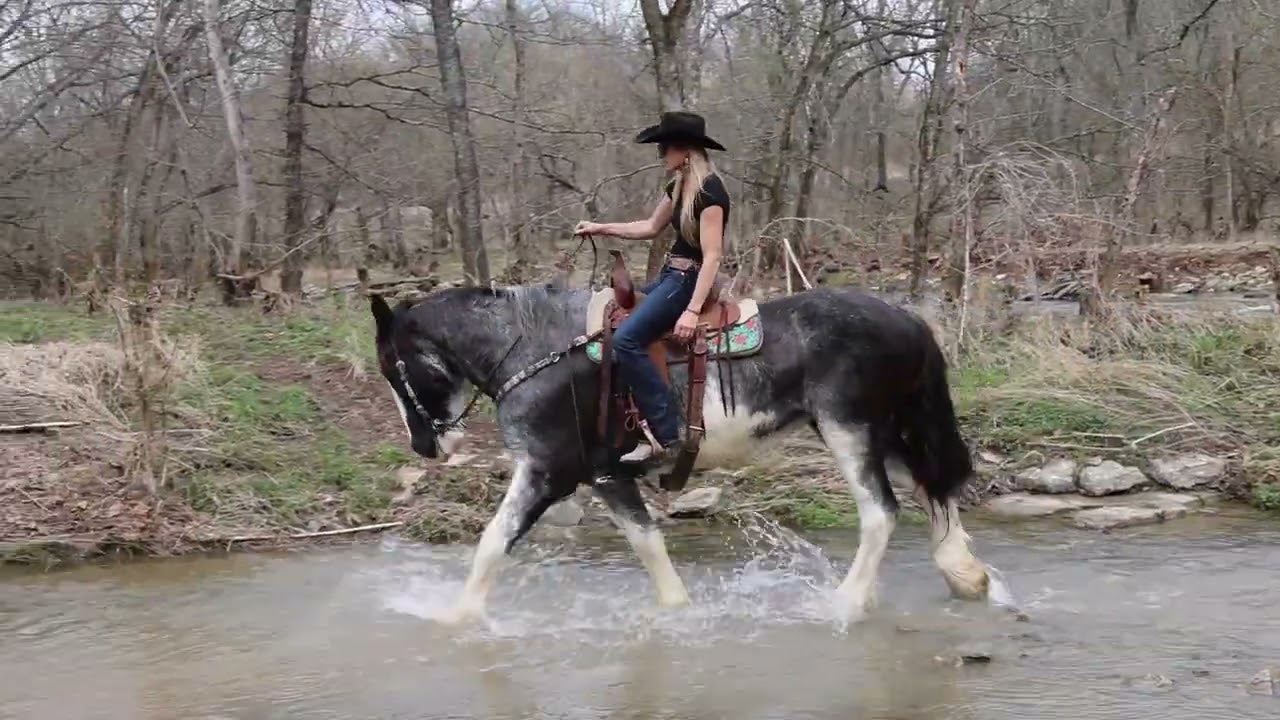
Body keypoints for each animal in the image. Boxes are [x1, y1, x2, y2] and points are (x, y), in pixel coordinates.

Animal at [369, 280, 991, 624]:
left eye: (395, 370)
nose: (425, 446)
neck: (536, 350)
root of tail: (909, 320)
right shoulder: (604, 476)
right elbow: (648, 543)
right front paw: (679, 611)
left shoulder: (554, 472)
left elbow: (494, 542)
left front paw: (456, 618)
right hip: (885, 432)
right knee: (934, 488)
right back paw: (966, 576)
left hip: (851, 431)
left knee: (882, 513)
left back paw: (844, 605)